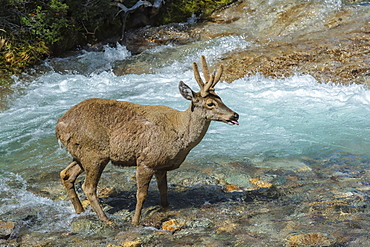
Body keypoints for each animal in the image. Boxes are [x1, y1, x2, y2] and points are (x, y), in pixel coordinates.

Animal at [56, 56, 238, 226]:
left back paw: (80, 211)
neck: (180, 135)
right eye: (210, 103)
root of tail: (59, 126)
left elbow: (163, 191)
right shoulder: (146, 161)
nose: (235, 115)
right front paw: (135, 222)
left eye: (221, 98)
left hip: (81, 154)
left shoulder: (161, 165)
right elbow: (141, 194)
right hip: (94, 153)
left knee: (66, 174)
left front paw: (166, 209)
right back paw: (107, 220)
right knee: (88, 187)